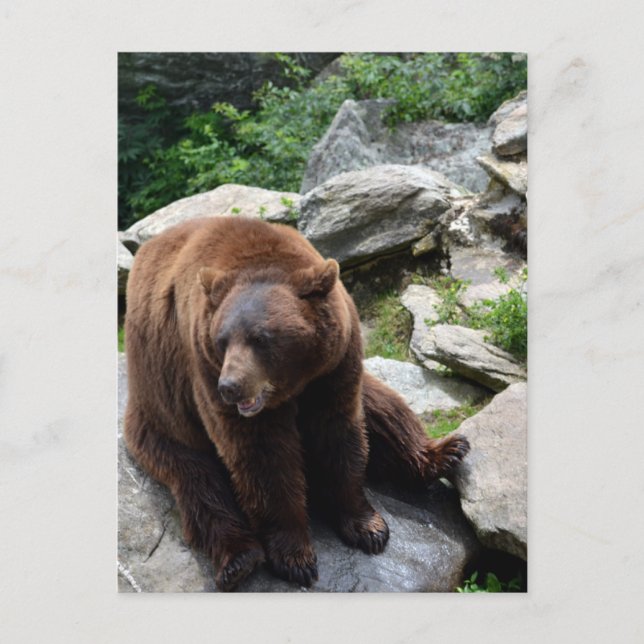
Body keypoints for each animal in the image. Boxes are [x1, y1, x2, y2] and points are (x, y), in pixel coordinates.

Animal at [124, 216, 469, 591]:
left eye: (260, 338)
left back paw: (446, 452)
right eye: (222, 340)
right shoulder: (204, 370)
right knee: (197, 483)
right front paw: (296, 558)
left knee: (384, 407)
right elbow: (263, 460)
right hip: (164, 409)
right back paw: (238, 559)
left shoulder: (334, 366)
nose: (229, 387)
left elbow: (339, 434)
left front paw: (368, 527)